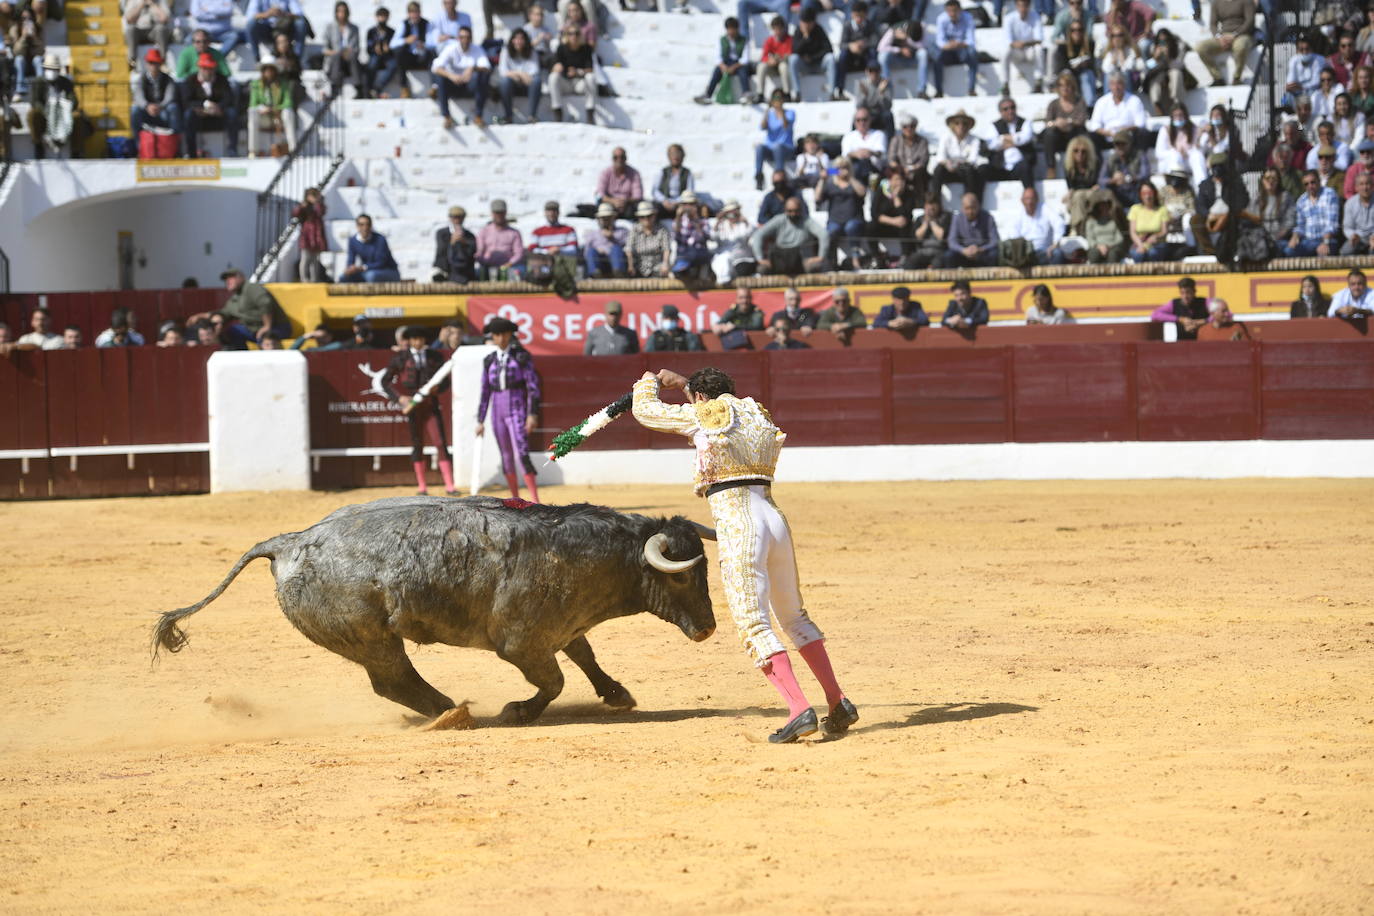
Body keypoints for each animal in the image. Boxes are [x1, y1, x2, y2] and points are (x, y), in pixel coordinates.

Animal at [153, 497, 719, 725]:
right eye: (683, 574)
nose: (709, 629)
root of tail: (289, 541)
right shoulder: (521, 644)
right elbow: (555, 681)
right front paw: (516, 711)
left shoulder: (560, 629)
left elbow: (586, 657)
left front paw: (618, 695)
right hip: (373, 639)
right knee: (393, 679)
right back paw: (451, 712)